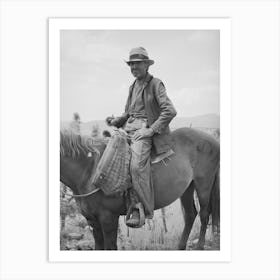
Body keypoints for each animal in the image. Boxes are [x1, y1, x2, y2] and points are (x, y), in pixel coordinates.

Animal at [60, 127, 220, 249]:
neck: (89, 170)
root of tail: (213, 140)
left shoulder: (108, 219)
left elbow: (110, 247)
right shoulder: (93, 221)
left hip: (203, 184)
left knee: (204, 214)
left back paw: (199, 246)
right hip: (187, 188)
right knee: (190, 214)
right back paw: (181, 247)